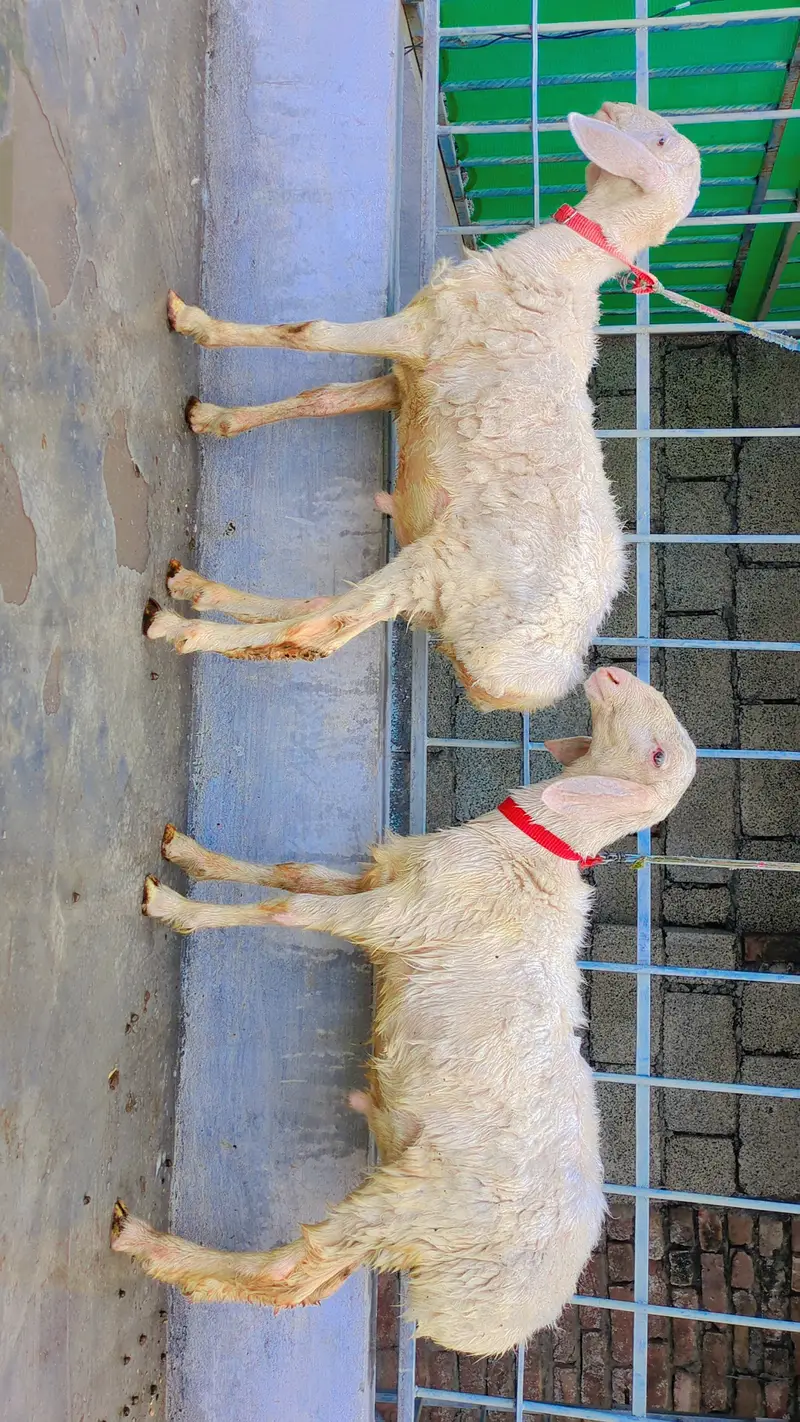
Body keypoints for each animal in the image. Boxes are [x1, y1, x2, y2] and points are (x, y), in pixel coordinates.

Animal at [112, 666, 696, 1355]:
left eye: (657, 755)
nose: (610, 672)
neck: (534, 848)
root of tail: (488, 1326)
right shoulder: (389, 881)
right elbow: (294, 875)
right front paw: (191, 855)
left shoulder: (404, 915)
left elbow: (286, 911)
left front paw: (177, 909)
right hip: (402, 1213)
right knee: (301, 1280)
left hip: (419, 1206)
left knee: (288, 1269)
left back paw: (146, 1243)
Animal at [144, 101, 701, 713]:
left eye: (659, 140)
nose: (608, 107)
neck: (564, 265)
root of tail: (523, 687)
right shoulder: (411, 380)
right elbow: (322, 398)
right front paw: (214, 418)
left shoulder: (424, 332)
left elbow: (309, 332)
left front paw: (194, 323)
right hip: (437, 591)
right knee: (322, 617)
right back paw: (198, 589)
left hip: (444, 568)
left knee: (318, 631)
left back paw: (180, 627)